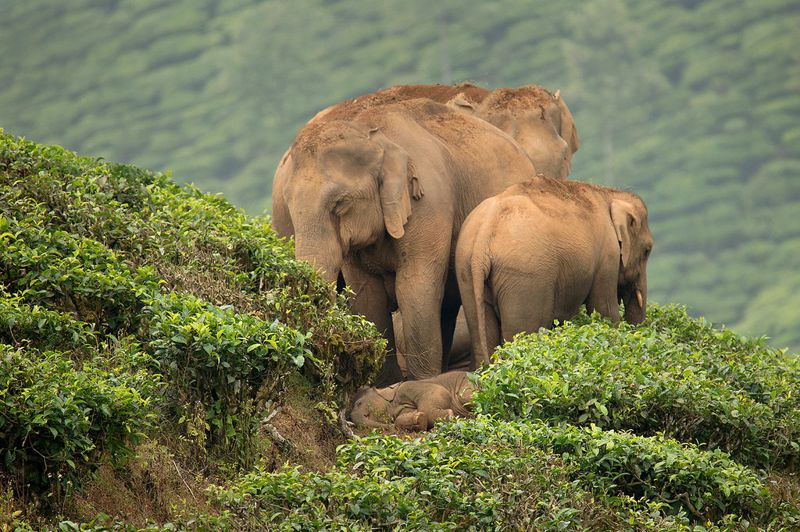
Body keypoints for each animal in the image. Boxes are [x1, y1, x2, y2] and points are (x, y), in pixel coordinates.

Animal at [278, 98, 538, 382]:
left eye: (340, 203)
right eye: (289, 207)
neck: (372, 134)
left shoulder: (429, 203)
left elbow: (414, 287)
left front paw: (418, 382)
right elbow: (367, 295)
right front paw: (387, 384)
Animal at [456, 176, 653, 366]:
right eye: (647, 251)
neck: (608, 193)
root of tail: (483, 237)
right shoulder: (608, 255)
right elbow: (604, 309)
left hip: (467, 273)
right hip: (526, 280)